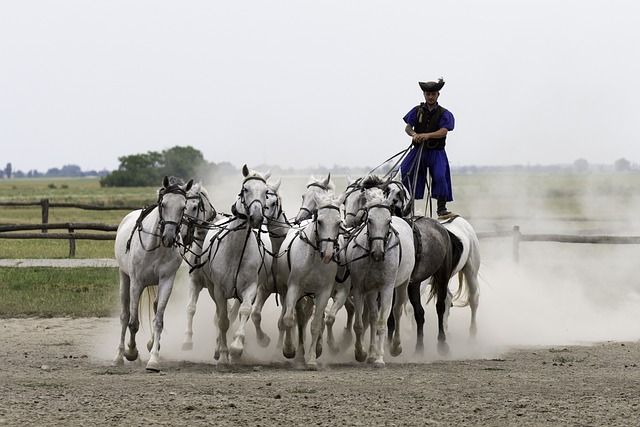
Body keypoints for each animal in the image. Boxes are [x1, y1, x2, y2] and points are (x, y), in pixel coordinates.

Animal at [112, 176, 194, 372]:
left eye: (183, 207)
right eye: (163, 204)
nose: (169, 238)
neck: (156, 246)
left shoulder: (166, 282)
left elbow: (158, 321)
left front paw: (153, 360)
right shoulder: (136, 282)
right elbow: (133, 322)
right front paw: (131, 352)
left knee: (155, 308)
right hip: (124, 278)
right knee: (124, 316)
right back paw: (119, 356)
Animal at [191, 166, 272, 368]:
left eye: (266, 192)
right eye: (245, 189)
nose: (256, 217)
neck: (236, 250)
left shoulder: (250, 288)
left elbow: (244, 311)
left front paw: (236, 348)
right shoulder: (219, 290)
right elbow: (222, 320)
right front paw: (223, 355)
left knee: (237, 312)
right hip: (213, 289)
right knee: (221, 315)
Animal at [276, 193, 342, 368]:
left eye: (338, 223)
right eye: (320, 221)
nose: (327, 254)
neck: (314, 259)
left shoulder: (323, 292)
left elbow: (316, 325)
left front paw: (312, 358)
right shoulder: (294, 287)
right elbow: (289, 319)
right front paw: (289, 350)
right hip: (291, 291)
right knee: (298, 320)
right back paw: (298, 353)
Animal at [344, 189, 416, 366]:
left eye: (388, 221)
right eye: (369, 220)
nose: (378, 253)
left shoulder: (387, 288)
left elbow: (382, 323)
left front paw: (379, 358)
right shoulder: (360, 288)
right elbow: (360, 324)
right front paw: (361, 353)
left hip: (402, 284)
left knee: (397, 311)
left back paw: (395, 347)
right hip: (372, 291)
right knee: (373, 317)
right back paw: (371, 353)